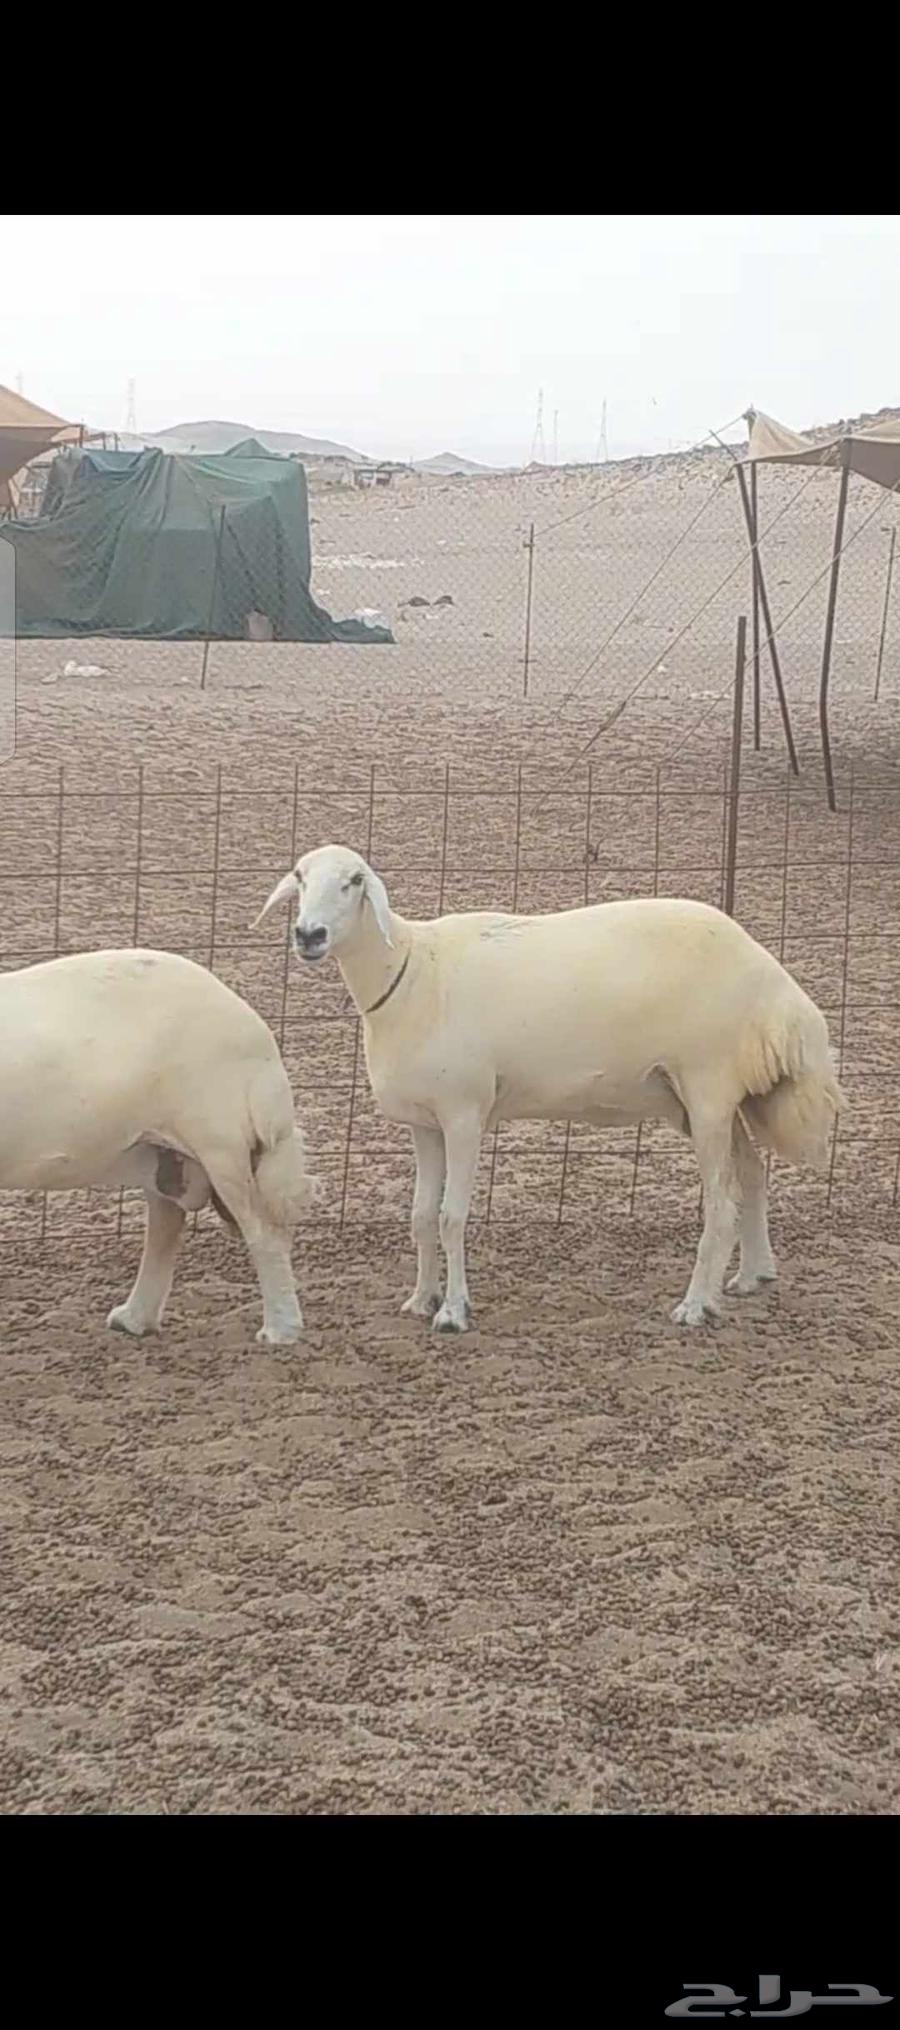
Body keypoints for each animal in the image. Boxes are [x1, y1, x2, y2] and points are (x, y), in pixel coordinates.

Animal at [0, 949, 313, 1345]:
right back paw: (134, 1319)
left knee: (264, 1232)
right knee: (165, 1225)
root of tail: (258, 1033)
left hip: (222, 1143)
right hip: (162, 1151)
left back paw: (280, 1330)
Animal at [255, 845, 844, 1336]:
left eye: (354, 881)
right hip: (701, 1099)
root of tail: (777, 987)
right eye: (300, 877)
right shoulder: (425, 1123)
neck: (410, 970)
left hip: (708, 1086)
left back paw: (696, 1305)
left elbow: (451, 1217)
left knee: (721, 1201)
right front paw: (422, 1299)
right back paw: (753, 1275)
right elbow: (421, 1217)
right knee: (752, 1173)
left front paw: (454, 1312)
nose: (309, 935)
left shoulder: (464, 1114)